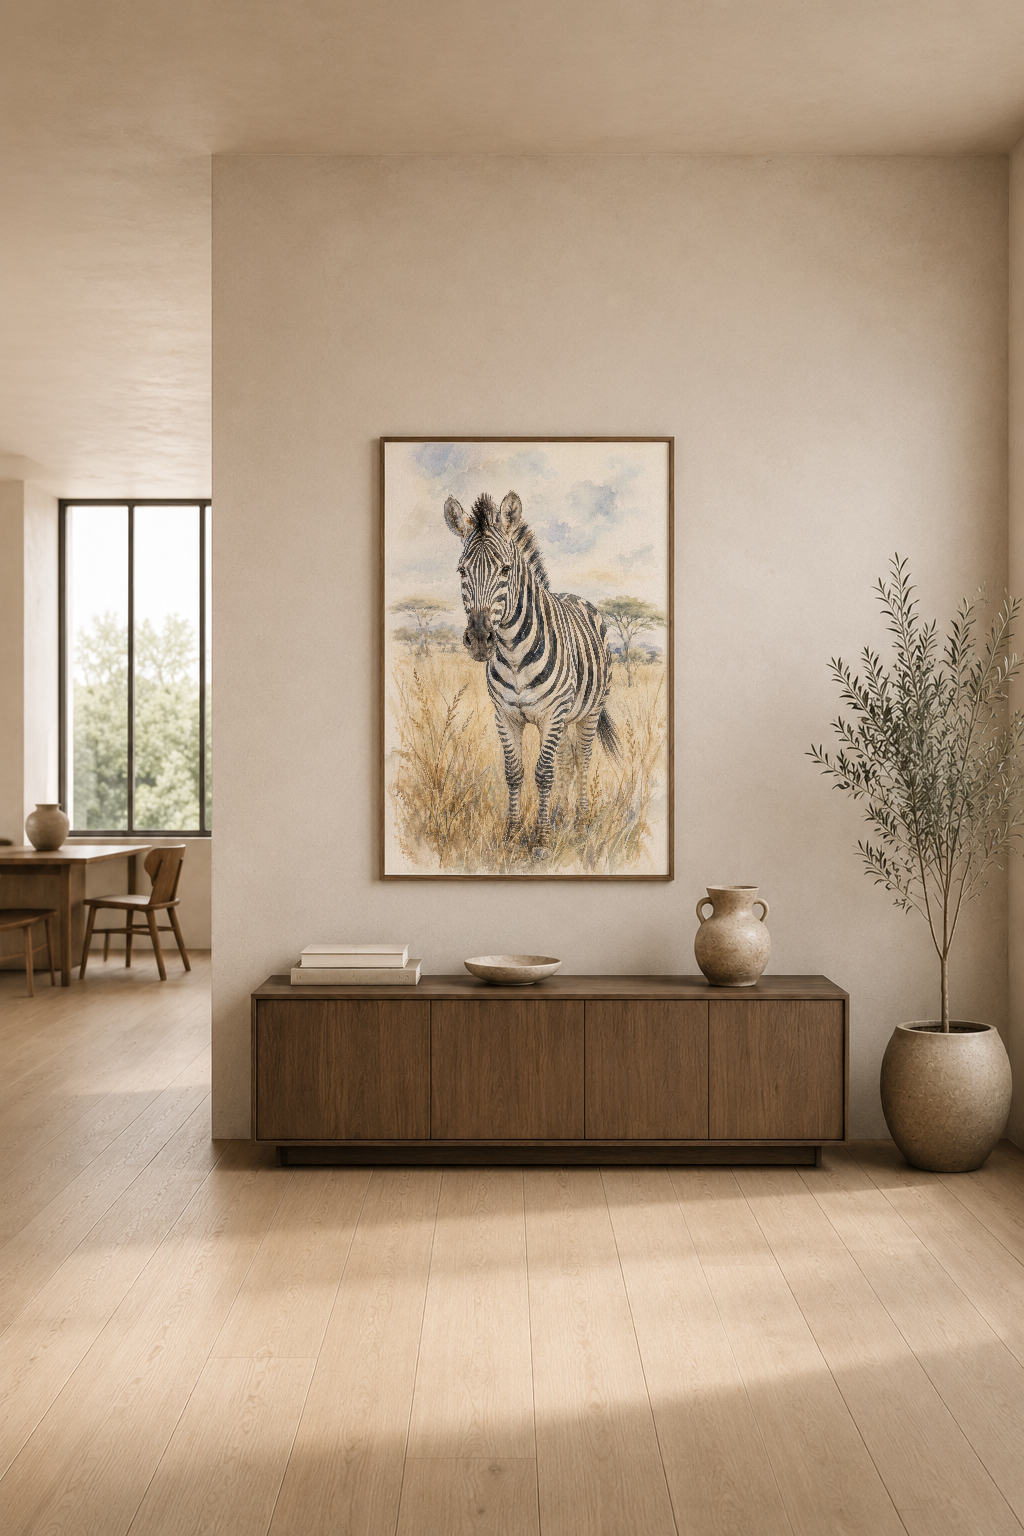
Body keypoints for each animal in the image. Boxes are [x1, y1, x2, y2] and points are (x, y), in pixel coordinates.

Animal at [445, 489, 621, 859]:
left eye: (505, 569)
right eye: (461, 571)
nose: (480, 638)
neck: (513, 652)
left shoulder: (551, 714)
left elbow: (543, 773)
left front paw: (541, 841)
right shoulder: (505, 715)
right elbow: (514, 773)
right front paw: (512, 835)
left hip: (590, 711)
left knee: (583, 758)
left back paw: (581, 820)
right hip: (569, 715)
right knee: (568, 759)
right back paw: (563, 816)